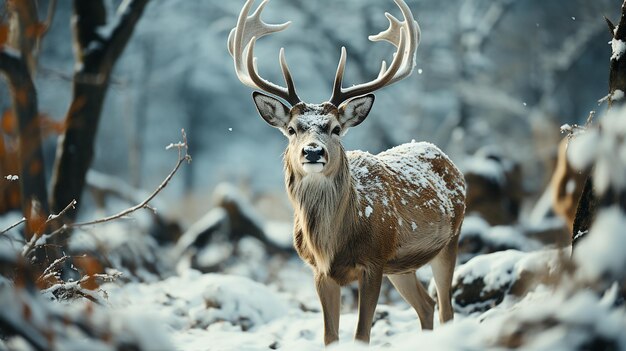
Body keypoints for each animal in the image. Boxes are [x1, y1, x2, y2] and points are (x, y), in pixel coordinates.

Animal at [229, 0, 464, 346]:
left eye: (336, 128)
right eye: (291, 129)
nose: (313, 151)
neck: (332, 244)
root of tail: (445, 157)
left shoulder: (374, 262)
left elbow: (361, 334)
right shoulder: (320, 272)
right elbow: (331, 336)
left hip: (450, 241)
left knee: (446, 308)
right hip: (401, 267)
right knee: (427, 305)